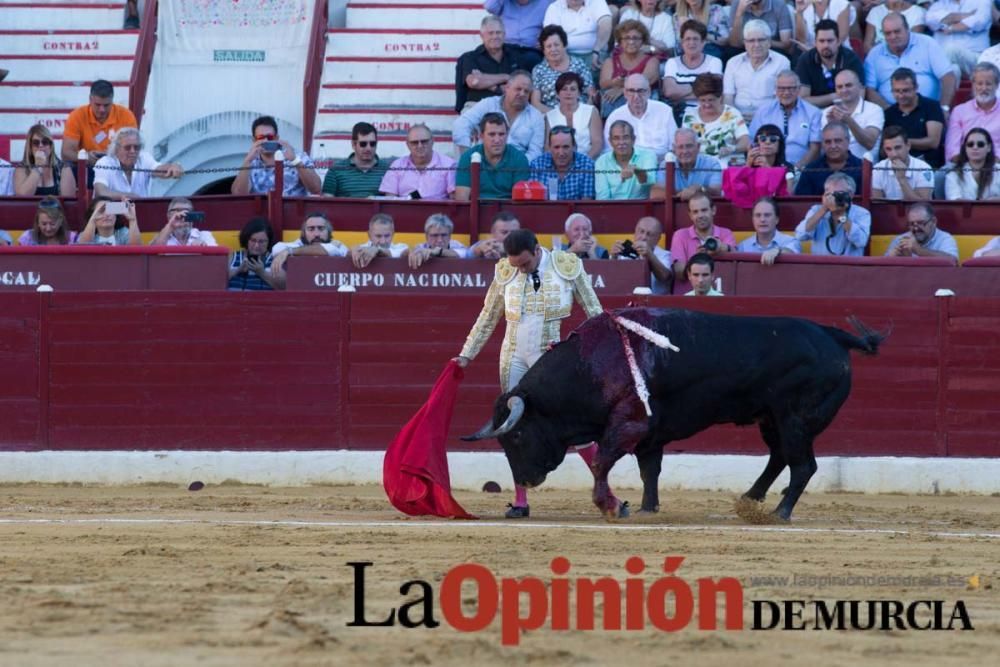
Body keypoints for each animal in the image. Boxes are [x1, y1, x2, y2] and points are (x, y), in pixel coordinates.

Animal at [460, 308, 884, 520]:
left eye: (516, 435)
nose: (525, 480)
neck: (590, 364)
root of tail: (833, 336)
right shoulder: (649, 433)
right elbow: (649, 469)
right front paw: (647, 507)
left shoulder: (629, 423)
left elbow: (601, 462)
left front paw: (611, 506)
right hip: (771, 418)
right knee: (780, 457)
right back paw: (750, 499)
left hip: (795, 418)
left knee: (803, 465)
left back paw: (779, 511)